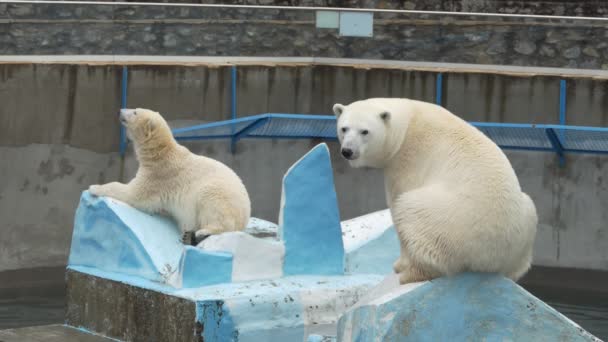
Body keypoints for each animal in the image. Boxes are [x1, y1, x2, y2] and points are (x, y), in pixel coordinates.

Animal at [89, 108, 251, 244]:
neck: (161, 153)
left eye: (135, 111)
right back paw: (188, 236)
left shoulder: (159, 174)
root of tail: (245, 217)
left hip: (221, 195)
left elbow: (134, 194)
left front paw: (94, 187)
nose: (120, 110)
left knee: (214, 205)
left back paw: (202, 232)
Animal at [334, 98, 540, 284]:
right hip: (525, 223)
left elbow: (397, 198)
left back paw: (410, 274)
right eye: (344, 128)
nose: (347, 151)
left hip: (447, 221)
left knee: (411, 211)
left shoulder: (407, 160)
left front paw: (400, 264)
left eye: (364, 131)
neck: (406, 125)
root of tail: (493, 258)